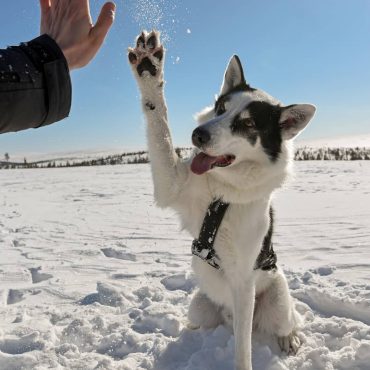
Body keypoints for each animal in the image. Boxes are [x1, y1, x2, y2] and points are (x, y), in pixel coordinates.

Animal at [127, 30, 316, 368]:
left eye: (249, 124)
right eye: (220, 108)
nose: (197, 135)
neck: (223, 193)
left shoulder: (243, 281)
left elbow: (243, 350)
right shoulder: (170, 185)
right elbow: (159, 127)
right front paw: (150, 71)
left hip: (277, 301)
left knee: (288, 321)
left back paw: (290, 338)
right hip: (200, 305)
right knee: (203, 321)